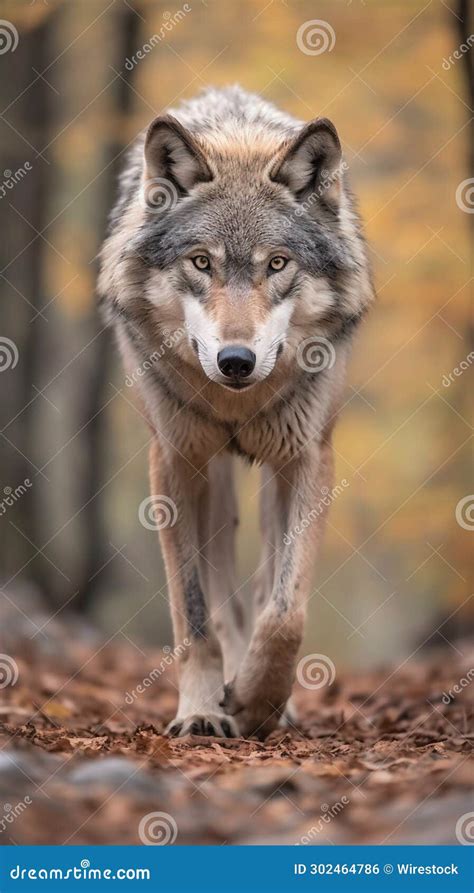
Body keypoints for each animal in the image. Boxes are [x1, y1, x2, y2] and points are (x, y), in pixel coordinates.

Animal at [98, 85, 374, 739]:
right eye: (202, 262)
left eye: (277, 264)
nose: (236, 360)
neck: (235, 403)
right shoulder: (173, 464)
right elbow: (193, 615)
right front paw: (202, 709)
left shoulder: (308, 460)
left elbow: (285, 611)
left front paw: (257, 702)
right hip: (213, 482)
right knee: (226, 591)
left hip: (272, 480)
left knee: (265, 581)